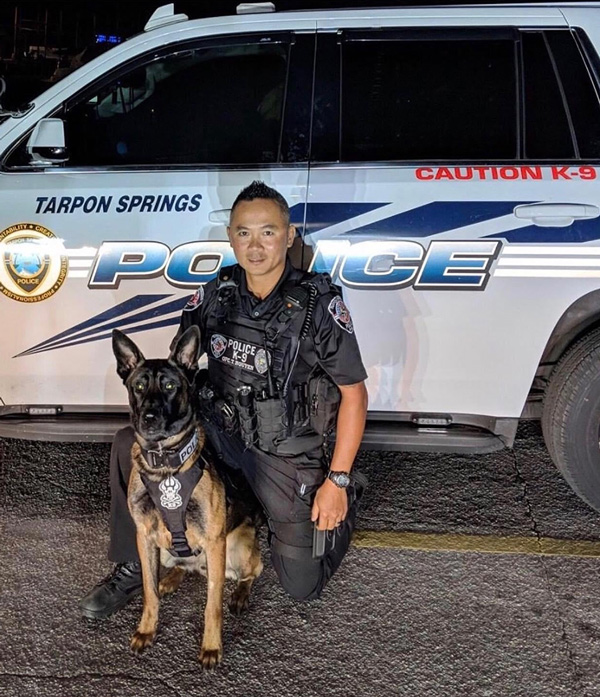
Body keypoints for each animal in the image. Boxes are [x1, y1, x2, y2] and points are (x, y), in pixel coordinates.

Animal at [112, 326, 262, 668]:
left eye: (170, 386)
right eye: (139, 386)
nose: (150, 418)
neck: (166, 466)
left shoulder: (215, 541)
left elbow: (212, 605)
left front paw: (211, 646)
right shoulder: (144, 536)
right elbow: (149, 591)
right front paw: (147, 629)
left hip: (239, 546)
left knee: (252, 572)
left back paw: (240, 595)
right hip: (165, 550)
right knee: (181, 566)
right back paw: (171, 579)